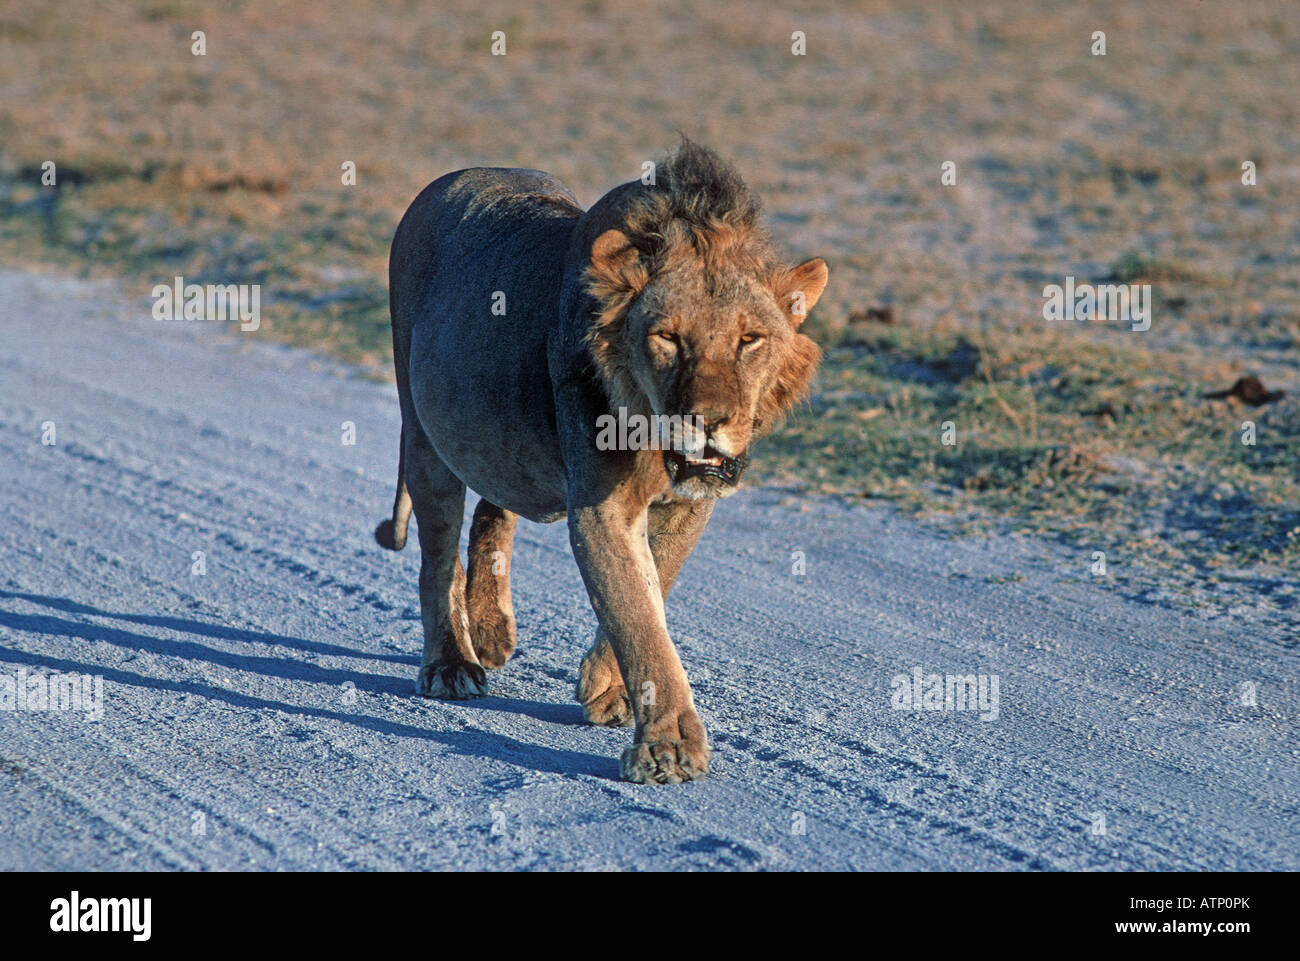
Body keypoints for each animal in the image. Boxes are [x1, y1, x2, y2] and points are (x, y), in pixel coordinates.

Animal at [375, 140, 827, 783]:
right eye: (668, 338)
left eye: (750, 340)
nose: (708, 420)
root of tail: (453, 179)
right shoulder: (599, 507)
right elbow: (637, 614)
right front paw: (669, 749)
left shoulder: (688, 508)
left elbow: (653, 587)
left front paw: (606, 689)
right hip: (424, 434)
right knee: (437, 558)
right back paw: (453, 664)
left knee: (495, 509)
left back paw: (491, 630)